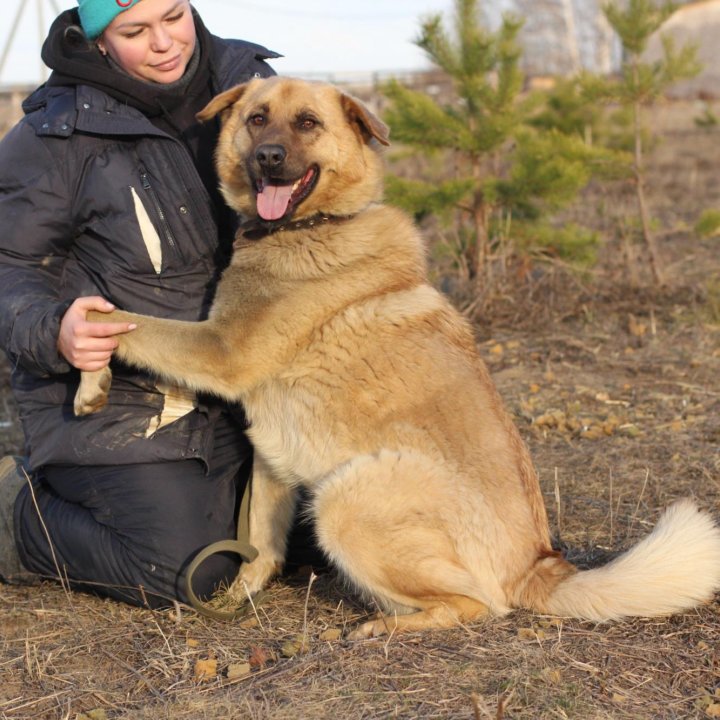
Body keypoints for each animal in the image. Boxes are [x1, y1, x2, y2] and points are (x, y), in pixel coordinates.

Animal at [73, 77, 720, 636]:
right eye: (256, 119)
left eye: (307, 122)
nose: (268, 157)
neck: (317, 224)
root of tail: (539, 565)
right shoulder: (274, 453)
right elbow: (260, 545)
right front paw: (236, 600)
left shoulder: (219, 350)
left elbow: (116, 318)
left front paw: (88, 377)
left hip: (346, 499)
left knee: (476, 605)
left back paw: (383, 627)